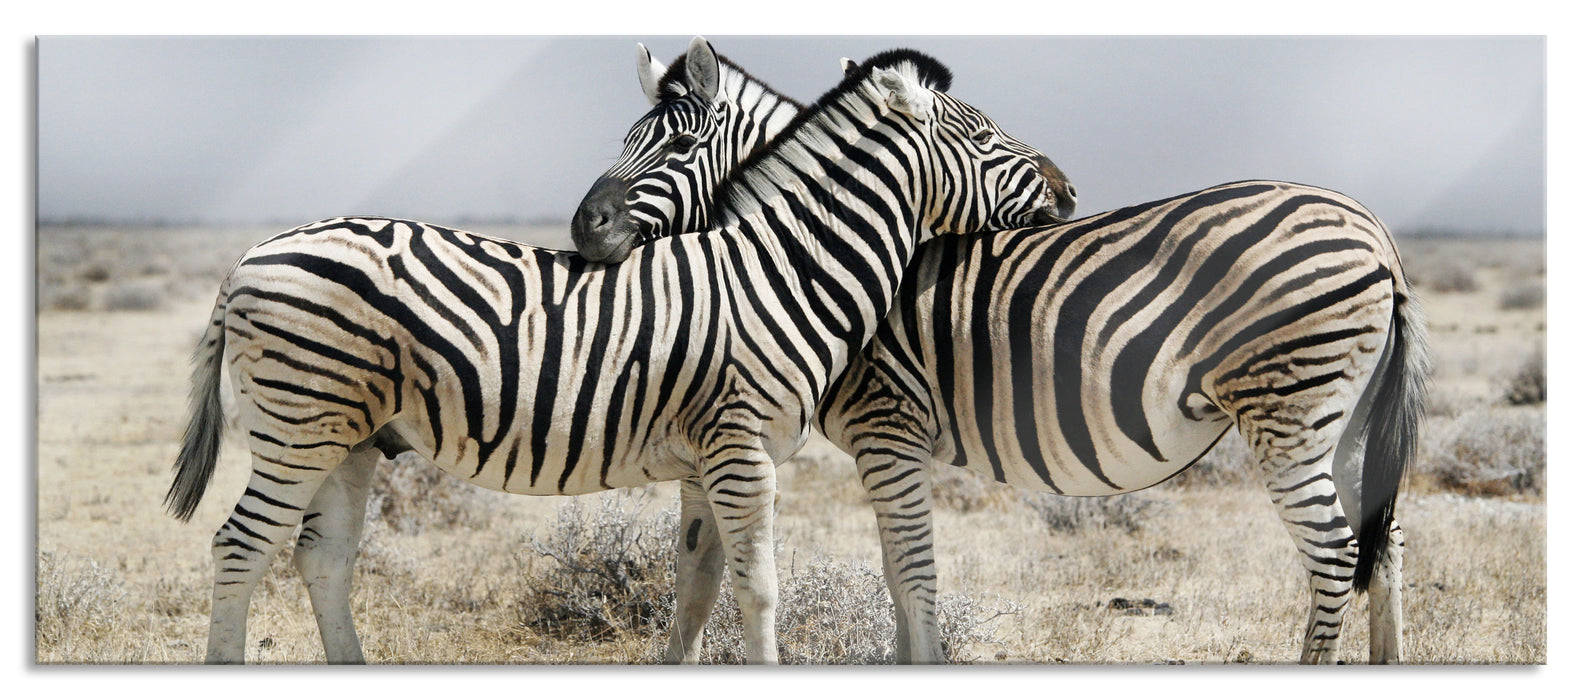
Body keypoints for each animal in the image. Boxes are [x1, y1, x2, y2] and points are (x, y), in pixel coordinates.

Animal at [165, 39, 1069, 664]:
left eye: (677, 146)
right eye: (986, 136)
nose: (1066, 191)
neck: (782, 268)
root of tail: (249, 256)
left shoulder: (706, 460)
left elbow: (698, 590)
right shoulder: (742, 449)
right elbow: (760, 590)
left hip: (347, 437)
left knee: (322, 559)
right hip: (299, 424)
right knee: (239, 548)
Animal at [573, 64, 1427, 665]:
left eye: (677, 146)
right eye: (624, 138)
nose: (585, 227)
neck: (811, 250)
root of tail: (1377, 236)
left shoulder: (888, 427)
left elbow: (909, 573)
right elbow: (898, 575)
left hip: (1286, 410)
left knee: (1336, 551)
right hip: (1342, 418)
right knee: (1382, 541)